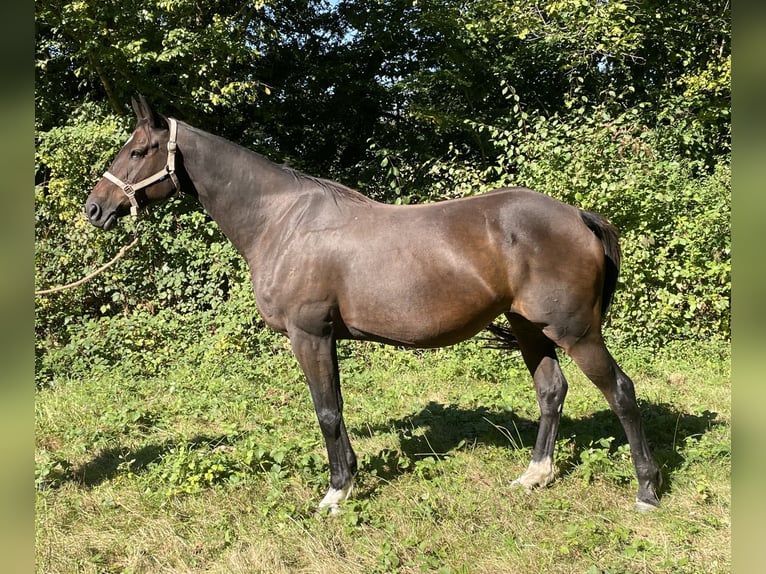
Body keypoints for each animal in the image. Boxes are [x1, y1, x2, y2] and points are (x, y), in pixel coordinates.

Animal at [82, 97, 660, 516]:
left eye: (139, 150)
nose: (94, 208)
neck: (281, 222)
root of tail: (577, 215)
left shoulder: (309, 335)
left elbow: (327, 410)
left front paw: (336, 493)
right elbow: (334, 408)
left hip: (575, 331)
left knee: (621, 391)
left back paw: (647, 491)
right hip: (528, 327)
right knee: (551, 390)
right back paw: (535, 475)